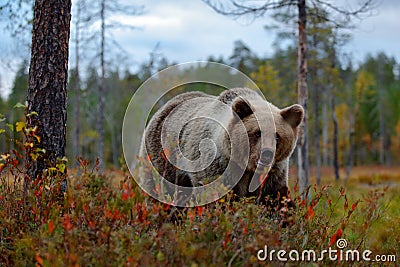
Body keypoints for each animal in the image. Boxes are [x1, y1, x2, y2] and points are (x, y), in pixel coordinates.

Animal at [138, 87, 304, 207]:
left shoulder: (274, 173)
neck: (246, 167)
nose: (267, 154)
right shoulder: (217, 166)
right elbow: (214, 195)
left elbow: (276, 198)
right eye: (257, 132)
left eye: (277, 135)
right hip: (162, 156)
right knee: (164, 190)